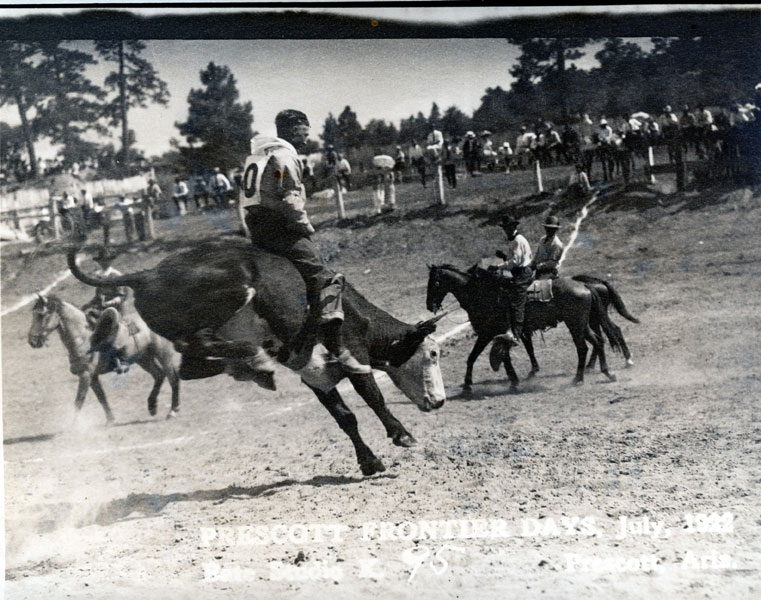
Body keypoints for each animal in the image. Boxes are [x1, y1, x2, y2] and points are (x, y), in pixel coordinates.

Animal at [27, 292, 183, 424]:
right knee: (159, 375)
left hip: (163, 356)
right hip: (144, 358)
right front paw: (110, 420)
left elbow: (79, 400)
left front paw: (72, 426)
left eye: (42, 314)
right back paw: (152, 406)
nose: (32, 341)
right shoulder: (93, 377)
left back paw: (172, 411)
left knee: (173, 379)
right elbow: (101, 397)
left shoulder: (85, 375)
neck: (84, 340)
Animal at [69, 239, 448, 478]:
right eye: (432, 353)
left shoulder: (317, 377)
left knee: (190, 363)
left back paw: (253, 367)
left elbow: (346, 417)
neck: (356, 315)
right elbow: (373, 398)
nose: (441, 401)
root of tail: (147, 274)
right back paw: (257, 361)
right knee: (198, 342)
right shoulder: (353, 357)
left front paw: (369, 462)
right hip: (237, 289)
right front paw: (402, 435)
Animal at [424, 264, 620, 392]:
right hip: (582, 325)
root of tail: (585, 285)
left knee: (583, 347)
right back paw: (606, 373)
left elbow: (473, 357)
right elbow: (505, 358)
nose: (429, 305)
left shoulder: (487, 333)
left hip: (575, 325)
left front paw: (467, 384)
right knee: (598, 342)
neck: (482, 295)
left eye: (435, 283)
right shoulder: (500, 335)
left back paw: (579, 379)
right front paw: (514, 381)